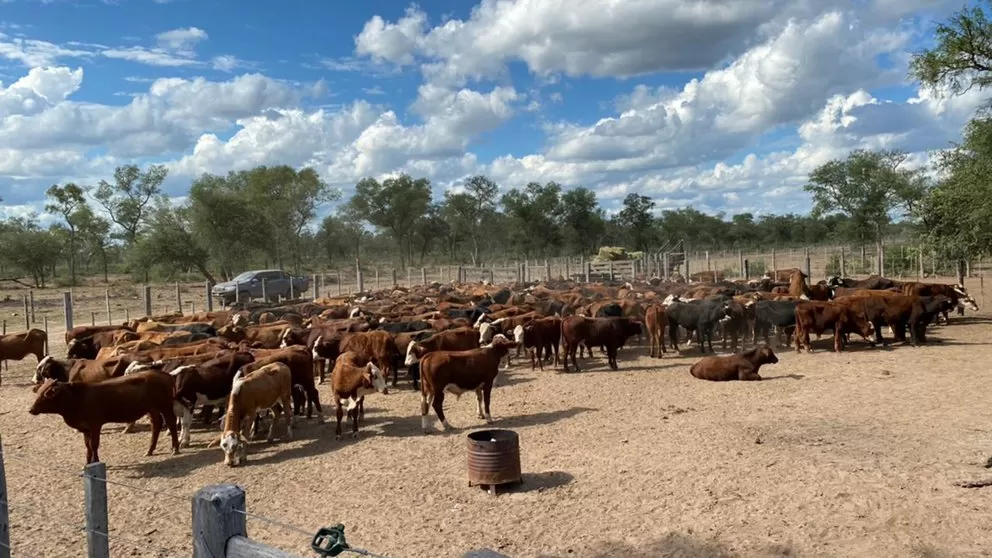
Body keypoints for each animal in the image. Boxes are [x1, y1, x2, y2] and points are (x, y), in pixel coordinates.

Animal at [28, 372, 180, 468]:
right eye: (39, 392)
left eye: (46, 394)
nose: (31, 409)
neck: (77, 399)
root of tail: (164, 374)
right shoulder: (85, 429)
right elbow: (88, 446)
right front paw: (88, 463)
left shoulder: (95, 425)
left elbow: (94, 445)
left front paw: (95, 461)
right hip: (152, 409)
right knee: (156, 424)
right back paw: (150, 450)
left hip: (165, 406)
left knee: (171, 423)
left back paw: (175, 448)